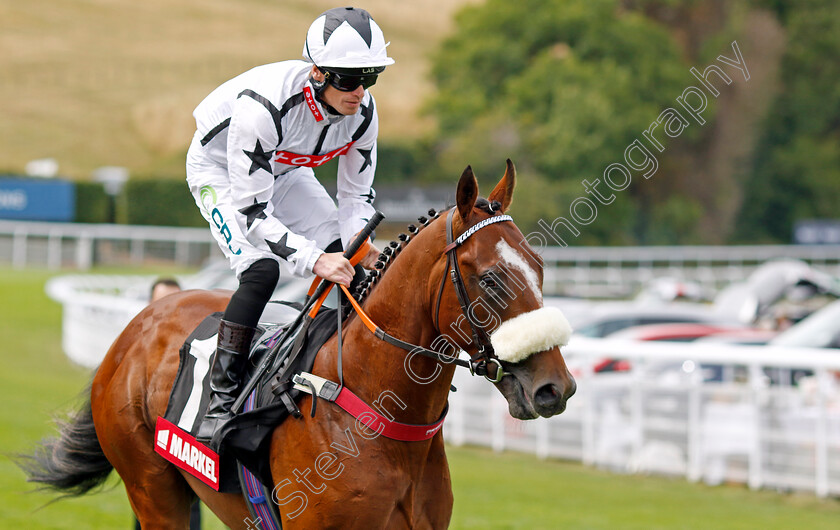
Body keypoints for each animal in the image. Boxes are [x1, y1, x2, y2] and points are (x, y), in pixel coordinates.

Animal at [24, 162, 576, 528]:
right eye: (490, 280)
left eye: (540, 267)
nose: (556, 388)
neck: (376, 410)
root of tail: (135, 328)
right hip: (152, 488)